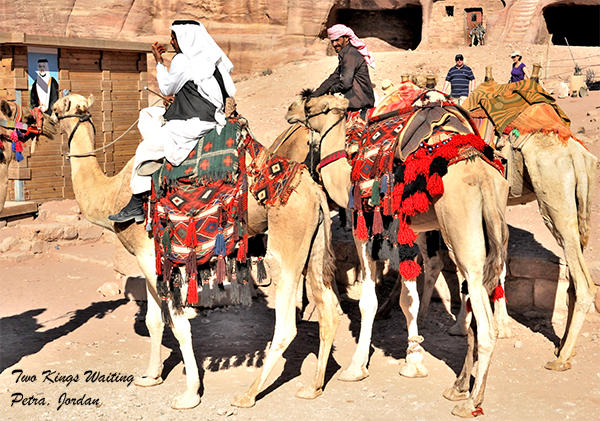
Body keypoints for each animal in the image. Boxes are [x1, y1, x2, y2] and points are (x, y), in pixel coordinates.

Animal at [50, 93, 342, 408]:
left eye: (60, 105)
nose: (46, 115)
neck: (111, 196)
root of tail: (315, 191)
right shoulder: (150, 259)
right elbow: (154, 321)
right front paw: (150, 377)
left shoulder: (147, 254)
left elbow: (178, 325)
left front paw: (189, 394)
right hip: (312, 245)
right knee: (328, 308)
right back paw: (314, 386)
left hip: (286, 242)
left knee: (287, 323)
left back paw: (248, 394)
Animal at [288, 92, 508, 416]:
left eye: (310, 104)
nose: (290, 110)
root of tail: (483, 175)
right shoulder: (409, 228)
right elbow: (409, 299)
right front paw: (413, 361)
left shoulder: (364, 227)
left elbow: (368, 300)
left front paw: (356, 367)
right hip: (487, 229)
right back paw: (457, 387)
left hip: (463, 235)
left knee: (485, 323)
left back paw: (472, 401)